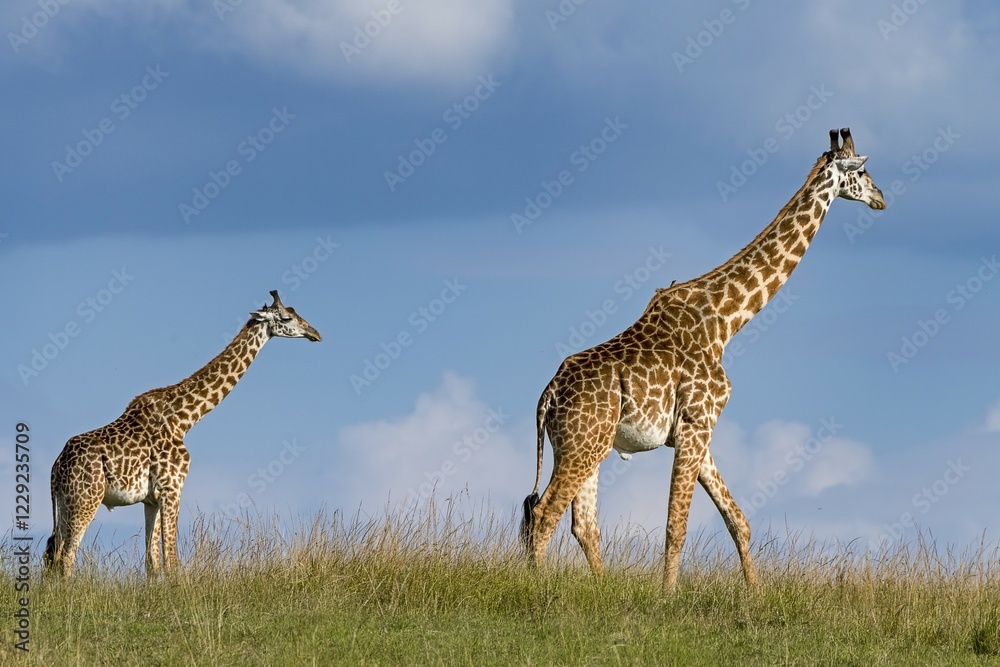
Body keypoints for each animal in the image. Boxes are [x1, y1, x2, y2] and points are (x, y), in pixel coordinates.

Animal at [44, 290, 321, 578]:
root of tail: (56, 467)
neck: (184, 419)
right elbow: (172, 559)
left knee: (53, 552)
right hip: (86, 498)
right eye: (287, 317)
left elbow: (152, 561)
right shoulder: (172, 488)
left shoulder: (151, 499)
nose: (315, 333)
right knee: (66, 556)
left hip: (65, 502)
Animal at [521, 129, 885, 592]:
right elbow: (676, 525)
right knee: (544, 511)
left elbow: (737, 520)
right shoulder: (696, 423)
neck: (726, 321)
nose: (881, 198)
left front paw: (755, 595)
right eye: (864, 171)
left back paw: (600, 591)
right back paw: (536, 587)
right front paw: (668, 597)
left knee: (580, 523)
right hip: (582, 445)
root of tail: (547, 395)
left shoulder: (698, 429)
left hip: (587, 444)